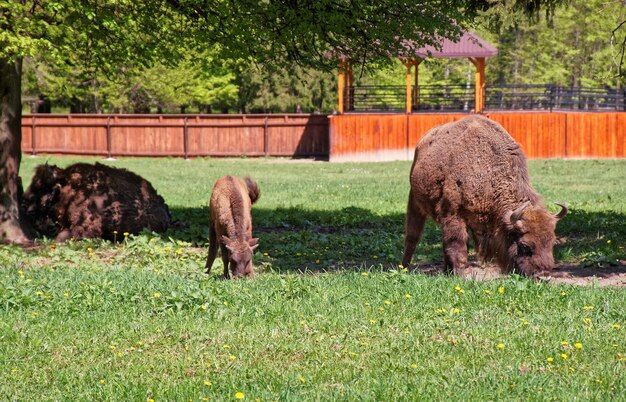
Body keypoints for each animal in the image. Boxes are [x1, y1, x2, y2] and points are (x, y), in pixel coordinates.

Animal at [400, 115, 564, 276]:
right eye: (524, 245)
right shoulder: (454, 214)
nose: (544, 275)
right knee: (412, 236)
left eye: (551, 242)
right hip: (414, 201)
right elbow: (458, 245)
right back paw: (405, 268)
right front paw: (460, 275)